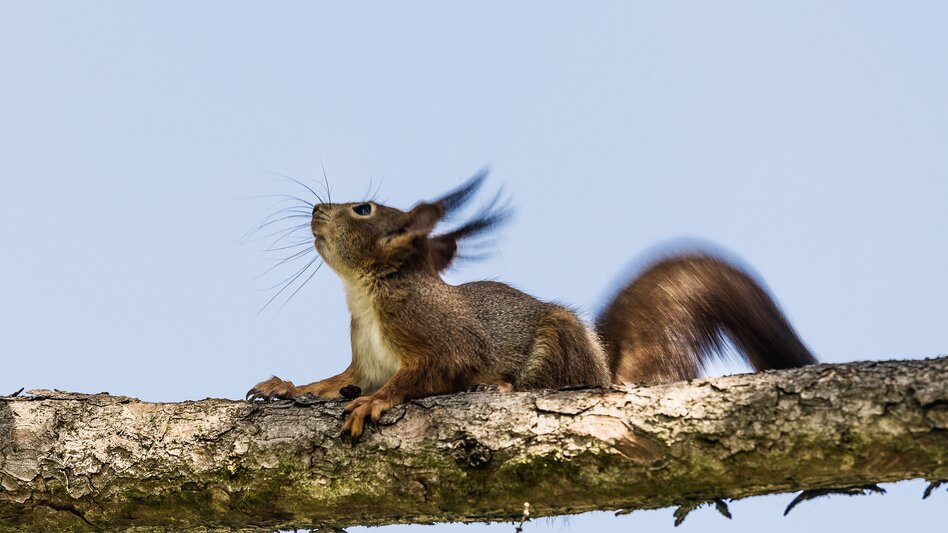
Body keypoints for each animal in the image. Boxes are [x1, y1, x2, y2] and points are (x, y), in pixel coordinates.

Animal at [246, 172, 817, 437]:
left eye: (362, 209)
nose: (315, 211)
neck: (366, 295)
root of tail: (605, 370)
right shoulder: (363, 360)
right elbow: (337, 381)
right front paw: (288, 387)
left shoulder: (433, 330)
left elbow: (435, 367)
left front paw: (376, 402)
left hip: (559, 341)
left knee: (545, 384)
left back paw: (499, 385)